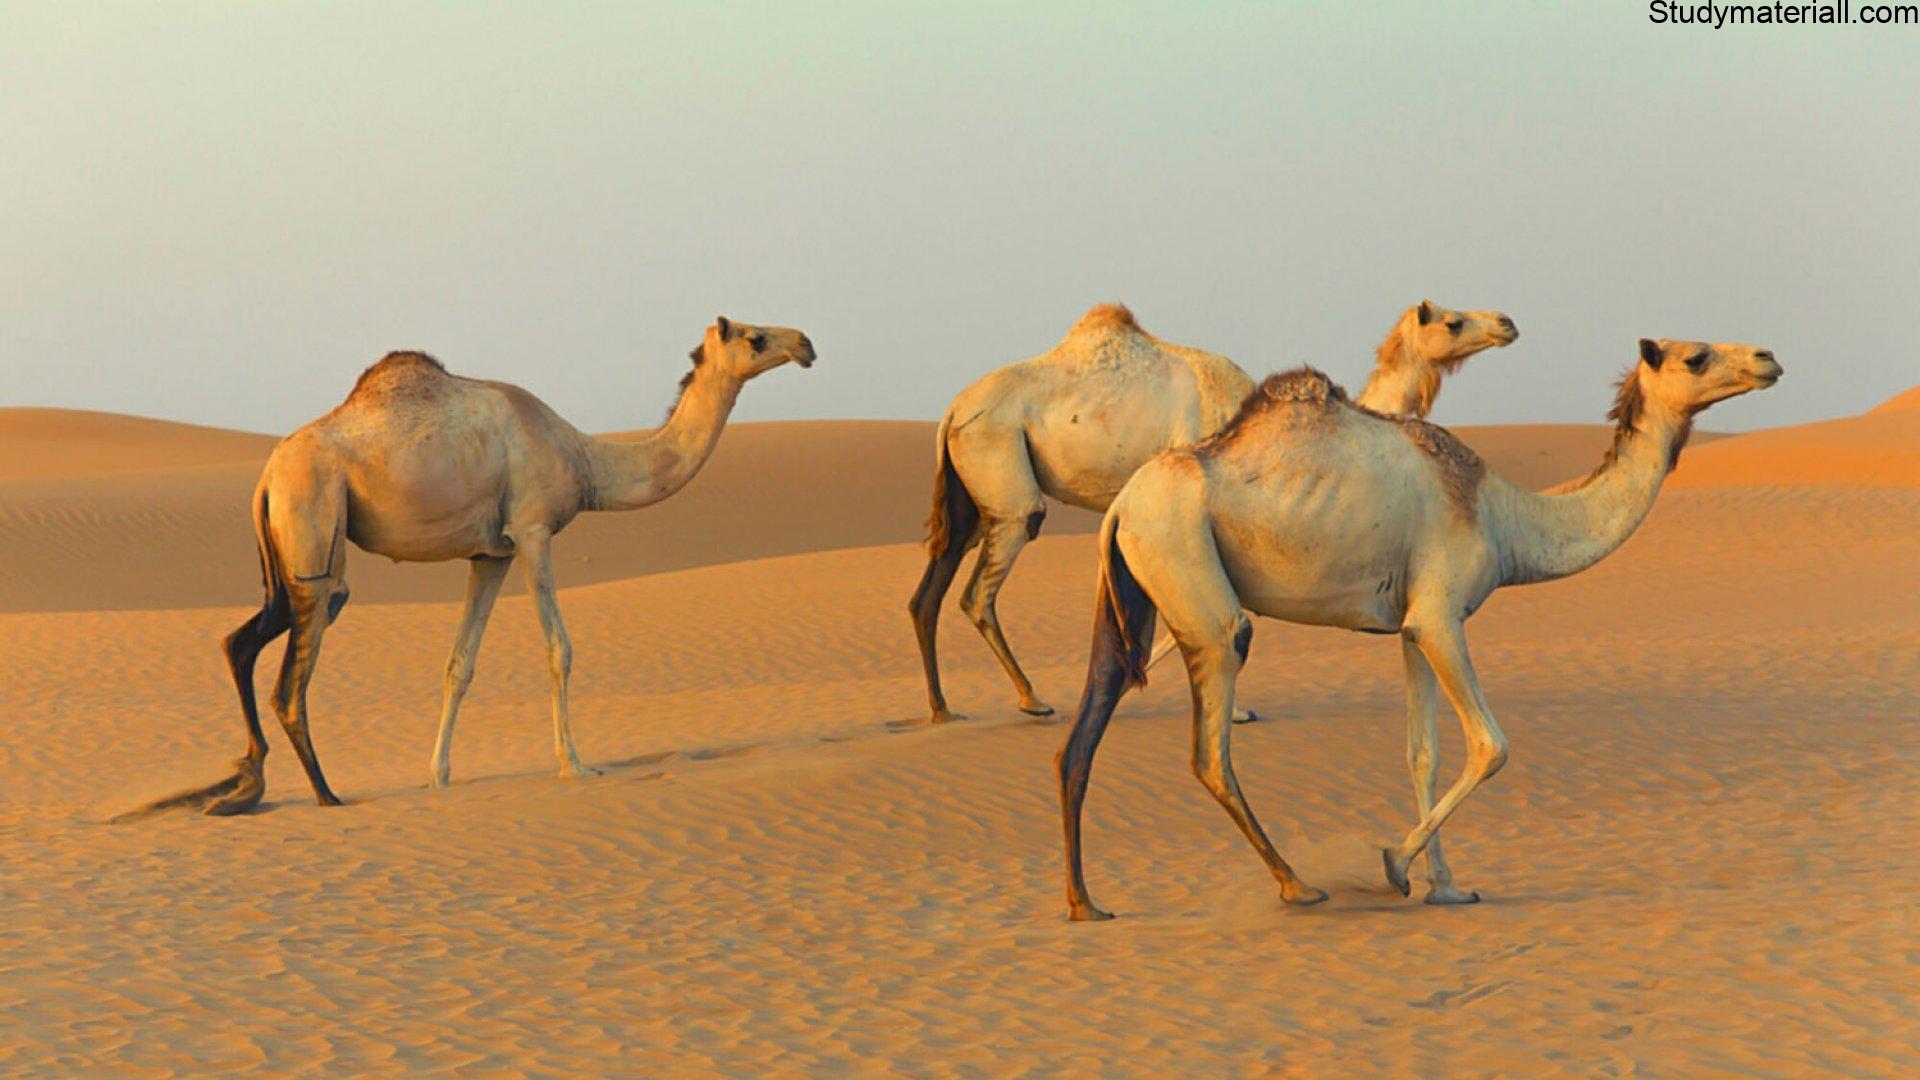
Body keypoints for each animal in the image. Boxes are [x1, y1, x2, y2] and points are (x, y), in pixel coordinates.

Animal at [162, 317, 816, 815]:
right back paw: (325, 794)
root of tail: (266, 477)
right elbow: (559, 648)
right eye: (755, 337)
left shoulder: (490, 554)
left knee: (240, 640)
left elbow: (460, 664)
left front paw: (439, 775)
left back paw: (244, 782)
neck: (586, 459)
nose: (806, 343)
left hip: (290, 557)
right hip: (313, 525)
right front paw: (576, 765)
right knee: (293, 675)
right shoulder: (532, 530)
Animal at [910, 300, 1516, 725]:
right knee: (983, 584)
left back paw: (942, 708)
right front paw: (1235, 709)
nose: (1507, 323)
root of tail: (953, 410)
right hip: (1001, 465)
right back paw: (1032, 700)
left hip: (967, 489)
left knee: (930, 589)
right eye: (1453, 322)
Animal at [1057, 337, 1780, 921]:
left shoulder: (1408, 627)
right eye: (1696, 356)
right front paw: (1395, 867)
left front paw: (1448, 887)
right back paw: (1298, 886)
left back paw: (1086, 902)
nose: (1768, 359)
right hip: (1193, 579)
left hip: (1132, 592)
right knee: (1211, 744)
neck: (1505, 517)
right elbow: (1491, 745)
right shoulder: (1441, 615)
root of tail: (1121, 506)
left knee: (1085, 730)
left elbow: (1421, 752)